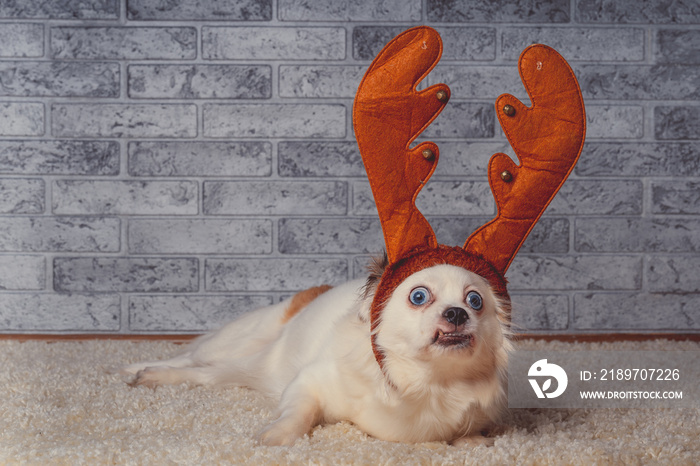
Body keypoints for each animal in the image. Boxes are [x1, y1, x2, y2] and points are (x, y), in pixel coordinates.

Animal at [123, 255, 512, 448]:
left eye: (475, 301)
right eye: (419, 296)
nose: (457, 313)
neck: (427, 381)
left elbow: (472, 437)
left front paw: (474, 443)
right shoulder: (309, 382)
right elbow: (299, 411)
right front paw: (279, 435)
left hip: (243, 367)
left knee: (207, 374)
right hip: (239, 341)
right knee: (191, 358)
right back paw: (140, 370)